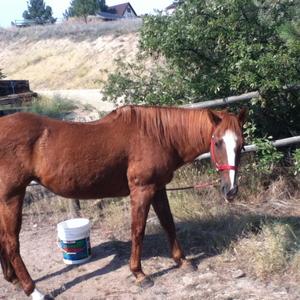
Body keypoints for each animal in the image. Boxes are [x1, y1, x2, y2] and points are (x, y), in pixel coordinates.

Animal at [0, 105, 246, 298]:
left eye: (241, 146)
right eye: (217, 142)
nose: (230, 190)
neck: (157, 135)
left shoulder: (158, 188)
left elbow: (168, 223)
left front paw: (182, 261)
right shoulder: (142, 190)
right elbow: (138, 230)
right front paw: (139, 274)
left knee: (4, 239)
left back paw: (13, 279)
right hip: (12, 197)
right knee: (12, 243)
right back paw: (33, 290)